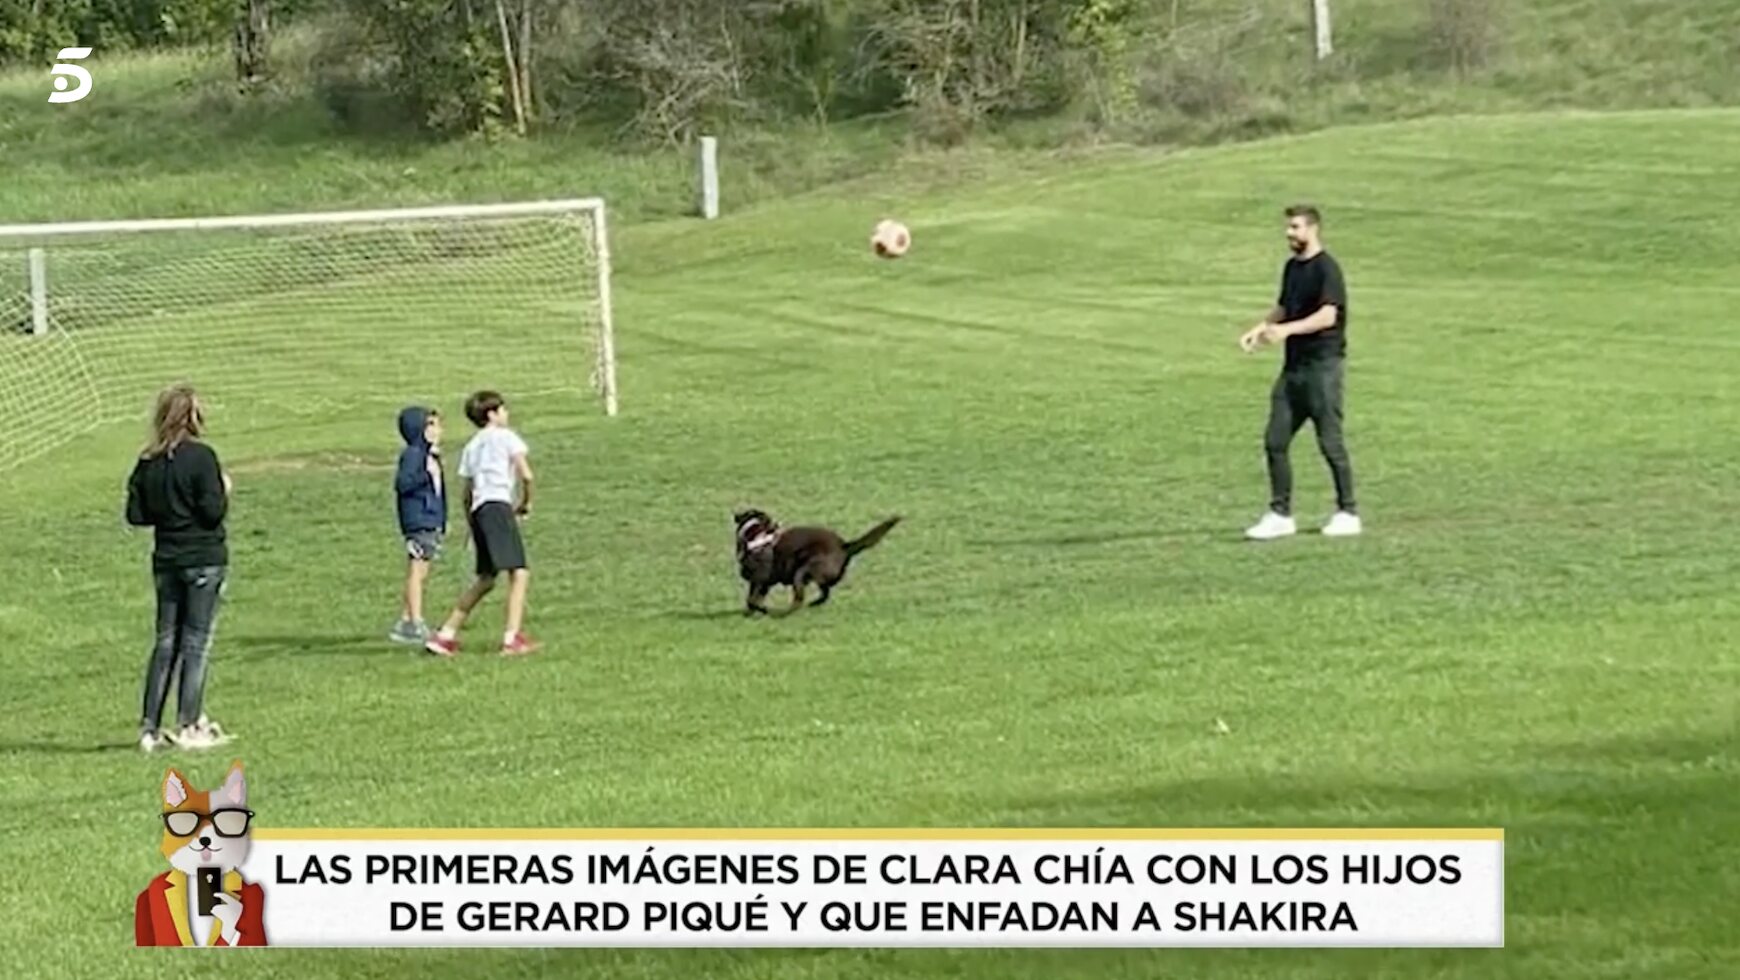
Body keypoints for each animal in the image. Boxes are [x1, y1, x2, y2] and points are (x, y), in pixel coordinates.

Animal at [734, 511, 904, 616]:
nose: (777, 524)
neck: (755, 537)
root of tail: (844, 546)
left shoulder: (760, 579)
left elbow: (752, 600)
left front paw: (762, 610)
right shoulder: (762, 584)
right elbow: (752, 600)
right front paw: (751, 613)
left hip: (801, 571)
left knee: (800, 599)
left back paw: (783, 613)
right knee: (825, 594)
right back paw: (813, 604)